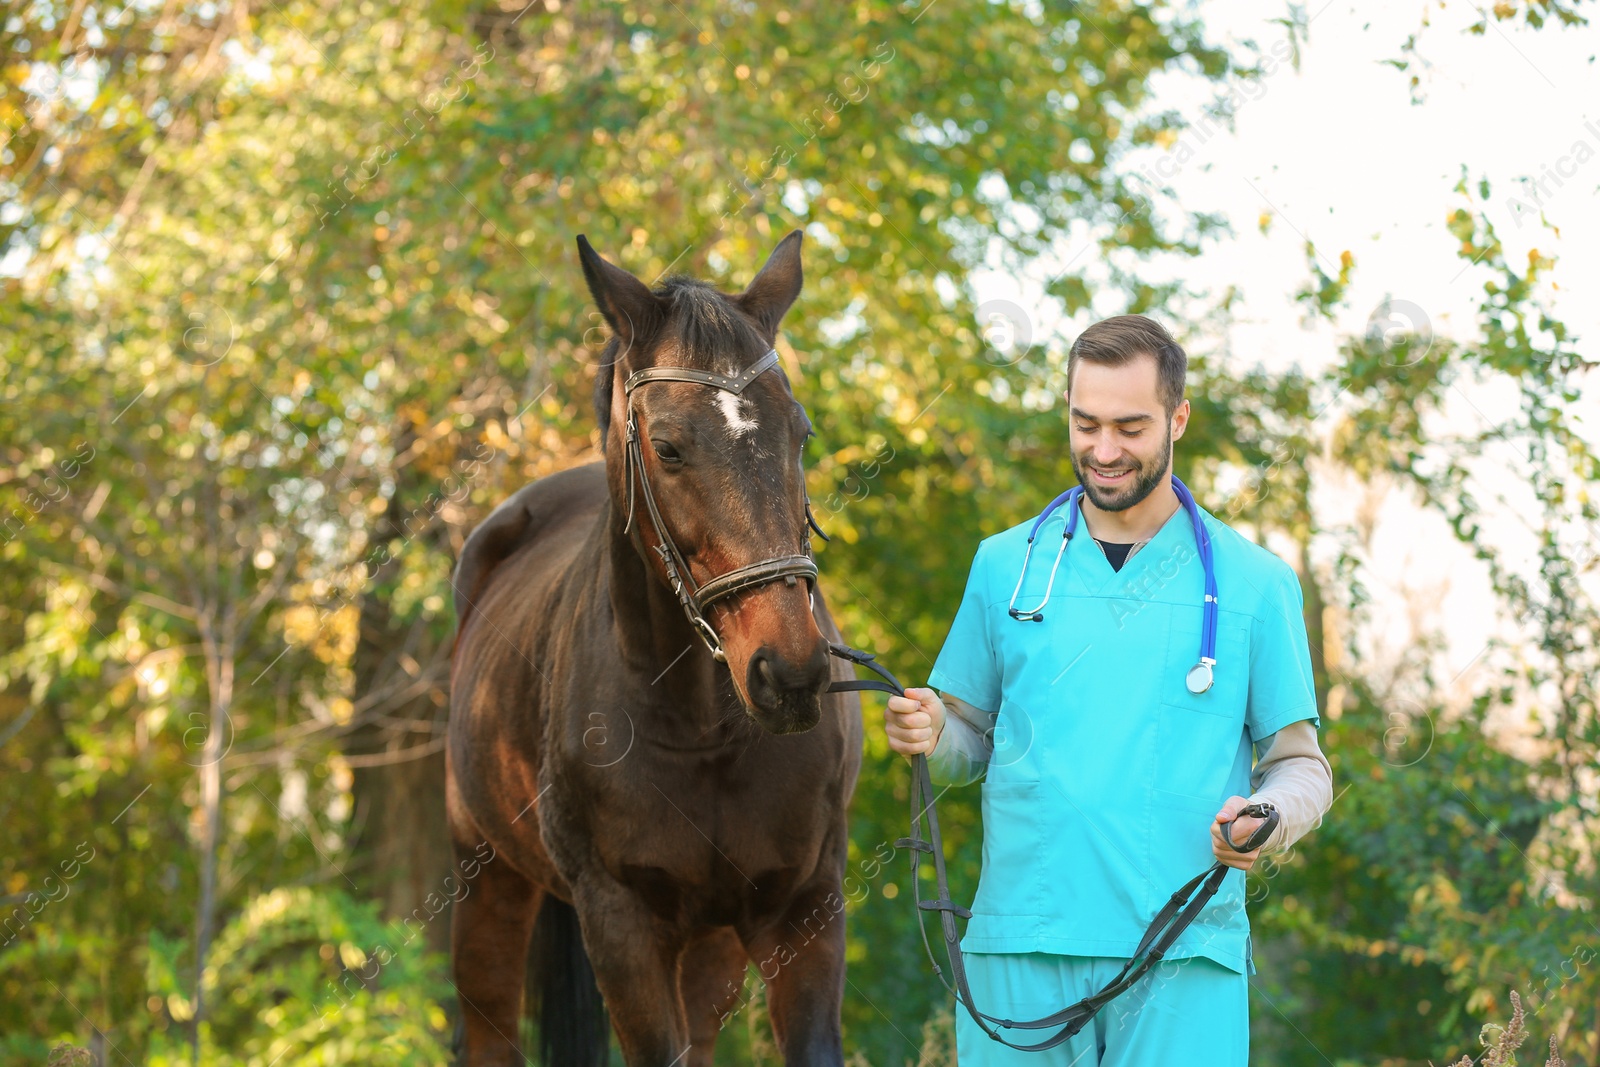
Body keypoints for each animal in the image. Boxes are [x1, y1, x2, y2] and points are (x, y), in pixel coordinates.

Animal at [444, 233, 864, 1067]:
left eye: (799, 433)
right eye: (667, 447)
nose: (791, 671)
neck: (704, 725)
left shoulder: (804, 909)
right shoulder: (622, 925)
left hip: (711, 942)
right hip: (486, 882)